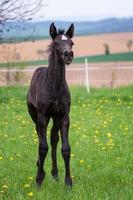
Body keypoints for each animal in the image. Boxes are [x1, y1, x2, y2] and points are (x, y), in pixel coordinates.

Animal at [27, 22, 74, 187]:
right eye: (55, 43)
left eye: (72, 43)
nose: (68, 54)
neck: (54, 88)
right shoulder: (43, 116)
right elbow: (43, 147)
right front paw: (39, 179)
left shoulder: (64, 116)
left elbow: (65, 148)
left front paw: (68, 182)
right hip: (35, 115)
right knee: (39, 135)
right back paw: (39, 166)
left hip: (55, 118)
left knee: (54, 138)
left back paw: (55, 173)